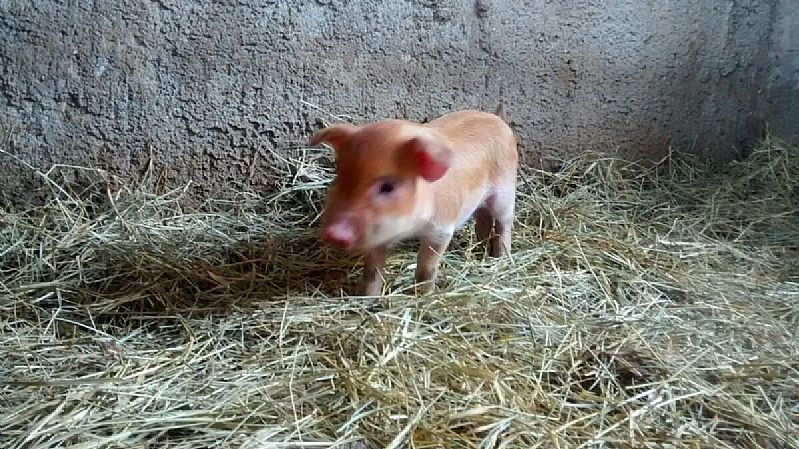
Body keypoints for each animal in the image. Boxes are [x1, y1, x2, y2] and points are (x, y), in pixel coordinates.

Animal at [310, 103, 518, 296]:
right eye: (340, 175)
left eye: (388, 186)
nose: (333, 233)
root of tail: (497, 118)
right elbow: (371, 271)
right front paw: (366, 298)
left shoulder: (441, 229)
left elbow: (426, 269)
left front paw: (423, 295)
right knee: (483, 219)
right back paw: (481, 250)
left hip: (505, 191)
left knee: (504, 222)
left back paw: (500, 257)